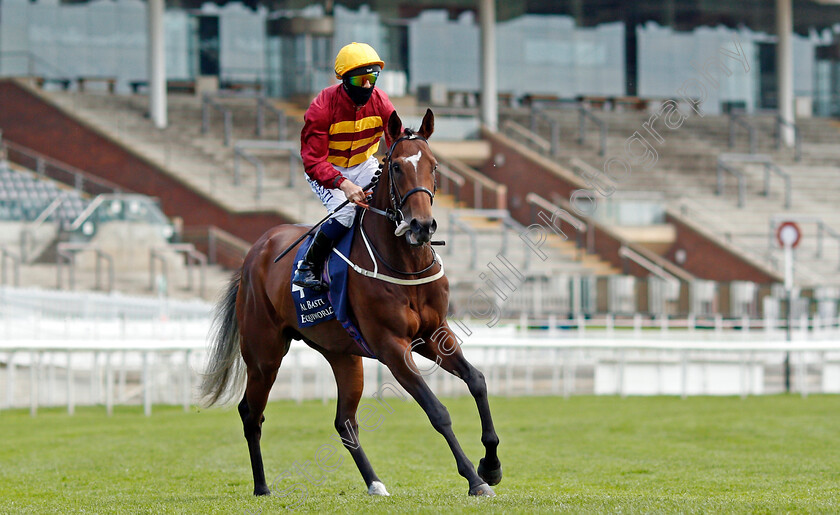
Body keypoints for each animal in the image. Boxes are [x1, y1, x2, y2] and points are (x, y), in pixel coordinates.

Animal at [200, 109, 502, 500]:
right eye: (397, 167)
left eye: (434, 166)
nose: (422, 225)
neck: (403, 263)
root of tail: (256, 251)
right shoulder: (392, 346)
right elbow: (437, 411)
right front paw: (474, 478)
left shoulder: (434, 333)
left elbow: (477, 381)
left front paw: (491, 465)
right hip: (264, 353)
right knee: (251, 413)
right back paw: (262, 487)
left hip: (343, 354)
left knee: (344, 421)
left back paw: (375, 483)